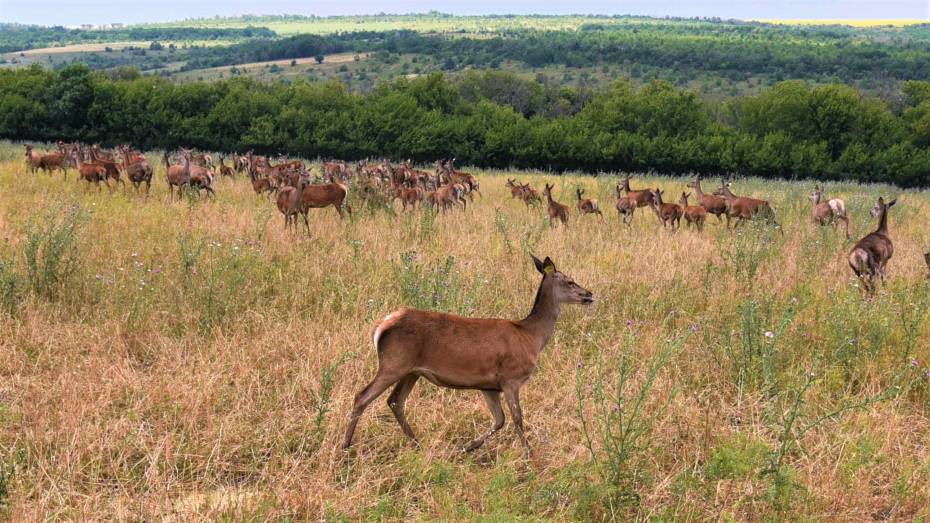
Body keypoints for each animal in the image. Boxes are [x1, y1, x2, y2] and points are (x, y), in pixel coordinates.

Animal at [342, 254, 596, 454]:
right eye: (570, 281)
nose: (589, 294)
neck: (530, 336)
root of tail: (380, 326)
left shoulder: (489, 386)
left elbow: (499, 420)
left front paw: (467, 447)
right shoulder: (511, 378)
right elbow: (517, 419)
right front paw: (528, 454)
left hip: (411, 371)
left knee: (395, 401)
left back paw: (417, 444)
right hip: (393, 362)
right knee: (362, 396)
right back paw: (346, 447)